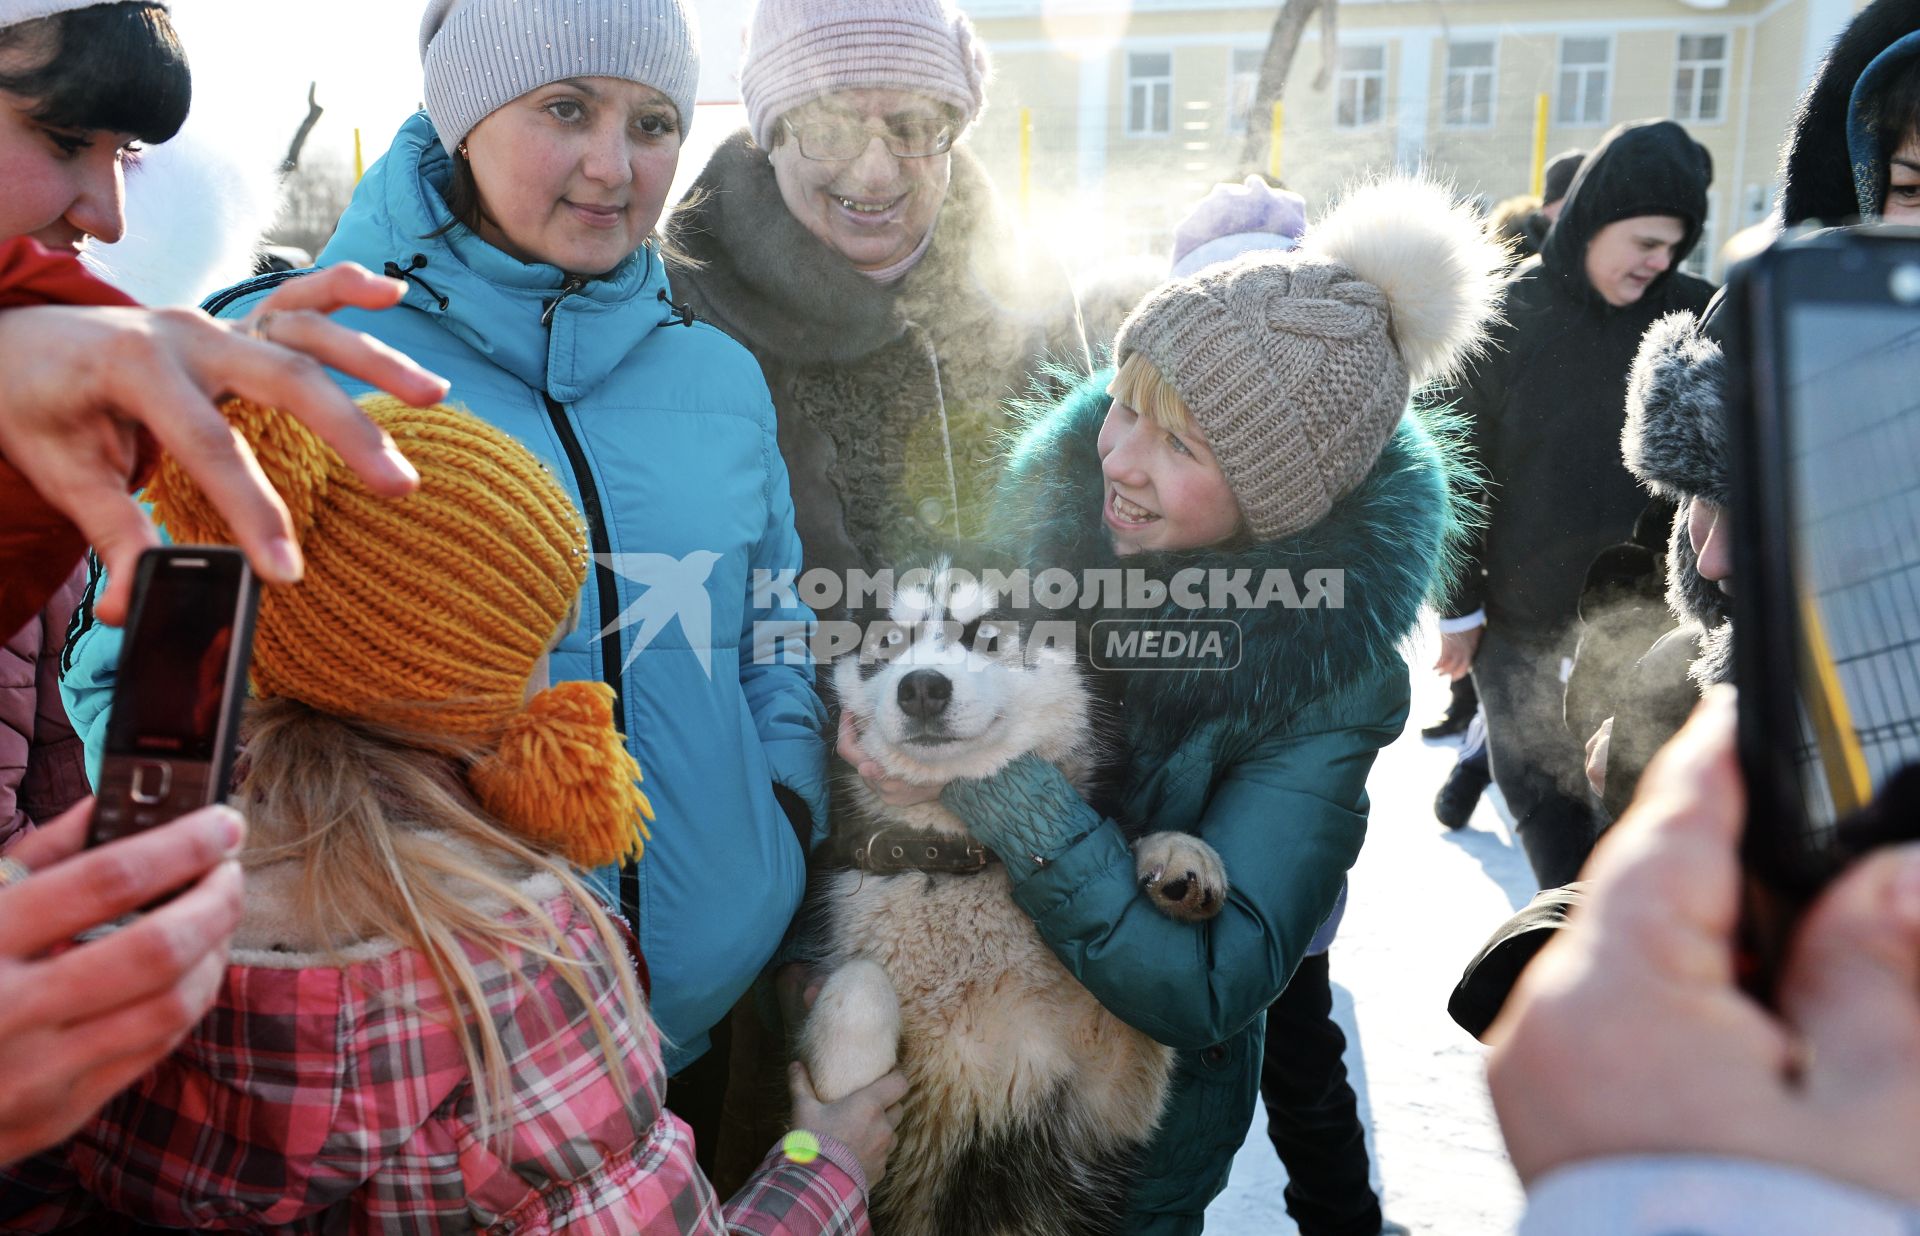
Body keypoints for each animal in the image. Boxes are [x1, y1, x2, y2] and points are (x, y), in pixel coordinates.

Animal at [798, 564, 1221, 1236]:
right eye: (888, 642)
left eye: (989, 636)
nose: (922, 687)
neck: (956, 863)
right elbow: (858, 984)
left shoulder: (1111, 1098)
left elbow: (1156, 1008)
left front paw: (1176, 855)